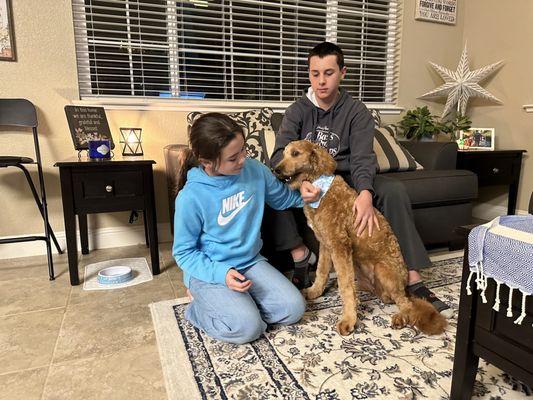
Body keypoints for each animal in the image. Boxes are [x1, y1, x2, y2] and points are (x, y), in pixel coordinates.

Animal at [274, 139, 444, 336]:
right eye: (283, 154)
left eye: (295, 153)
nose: (275, 169)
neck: (320, 185)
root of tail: (403, 283)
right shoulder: (325, 244)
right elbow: (322, 271)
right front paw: (315, 291)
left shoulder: (339, 245)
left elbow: (345, 287)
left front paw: (348, 320)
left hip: (382, 270)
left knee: (405, 302)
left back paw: (400, 317)